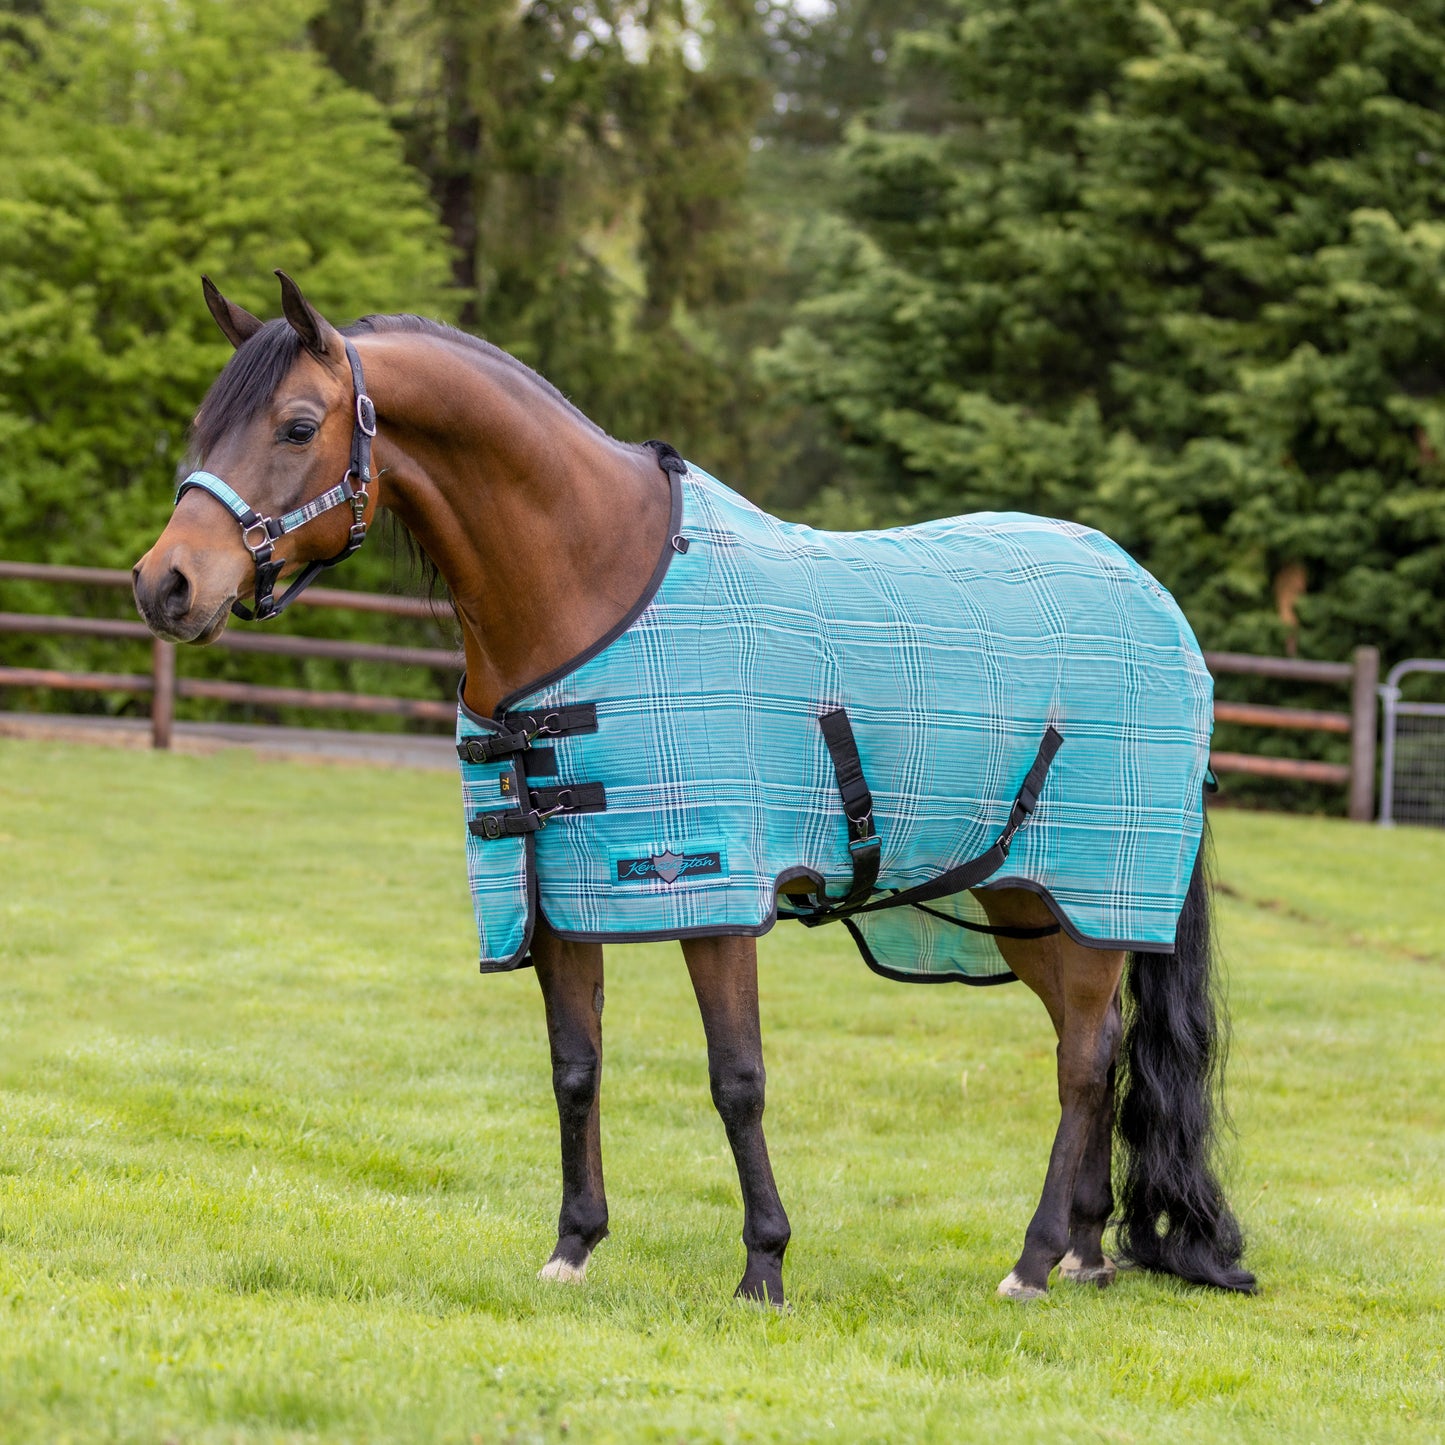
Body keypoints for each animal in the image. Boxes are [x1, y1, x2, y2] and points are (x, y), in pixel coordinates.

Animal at [132, 272, 1255, 1306]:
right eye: (204, 425)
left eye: (297, 424)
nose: (164, 584)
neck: (593, 583)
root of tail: (1153, 597)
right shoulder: (562, 895)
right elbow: (574, 1068)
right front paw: (573, 1245)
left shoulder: (711, 888)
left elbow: (736, 1079)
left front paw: (763, 1264)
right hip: (1025, 898)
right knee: (1090, 1048)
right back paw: (1081, 1251)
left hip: (1093, 890)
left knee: (1082, 1060)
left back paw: (1031, 1259)